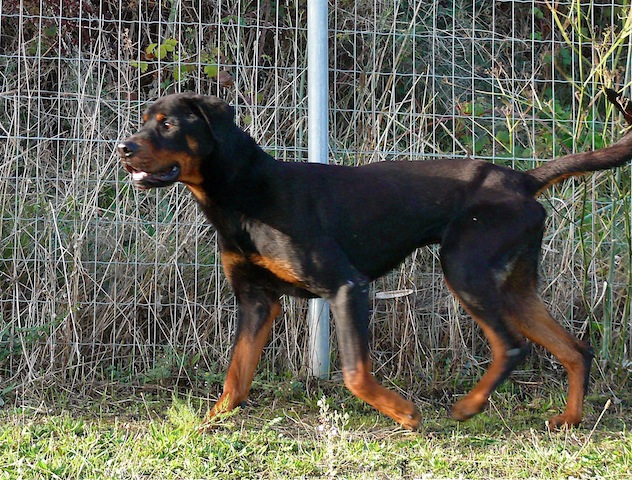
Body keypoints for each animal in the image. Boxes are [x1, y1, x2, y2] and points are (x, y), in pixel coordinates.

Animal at [118, 92, 632, 430]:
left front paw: (404, 413)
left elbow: (355, 374)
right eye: (143, 121)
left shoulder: (348, 287)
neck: (243, 193)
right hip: (513, 287)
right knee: (575, 350)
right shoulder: (256, 301)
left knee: (511, 346)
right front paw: (206, 422)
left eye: (167, 123)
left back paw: (468, 407)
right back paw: (569, 419)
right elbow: (236, 379)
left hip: (464, 270)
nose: (123, 147)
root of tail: (522, 180)